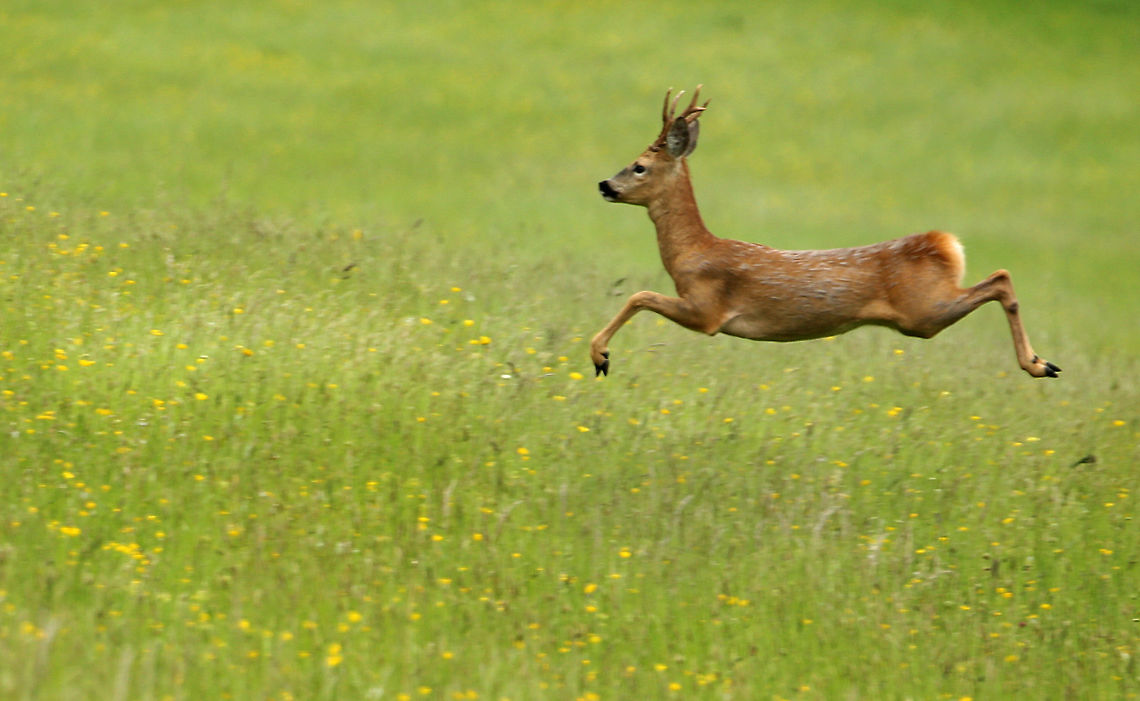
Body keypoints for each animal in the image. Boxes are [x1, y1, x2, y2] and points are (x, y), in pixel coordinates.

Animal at [591, 86, 1061, 380]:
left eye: (639, 166)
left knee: (999, 278)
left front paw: (600, 355)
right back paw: (1042, 363)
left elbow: (640, 296)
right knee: (1000, 278)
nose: (604, 185)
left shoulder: (707, 311)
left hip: (922, 313)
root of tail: (944, 246)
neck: (693, 252)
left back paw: (1040, 365)